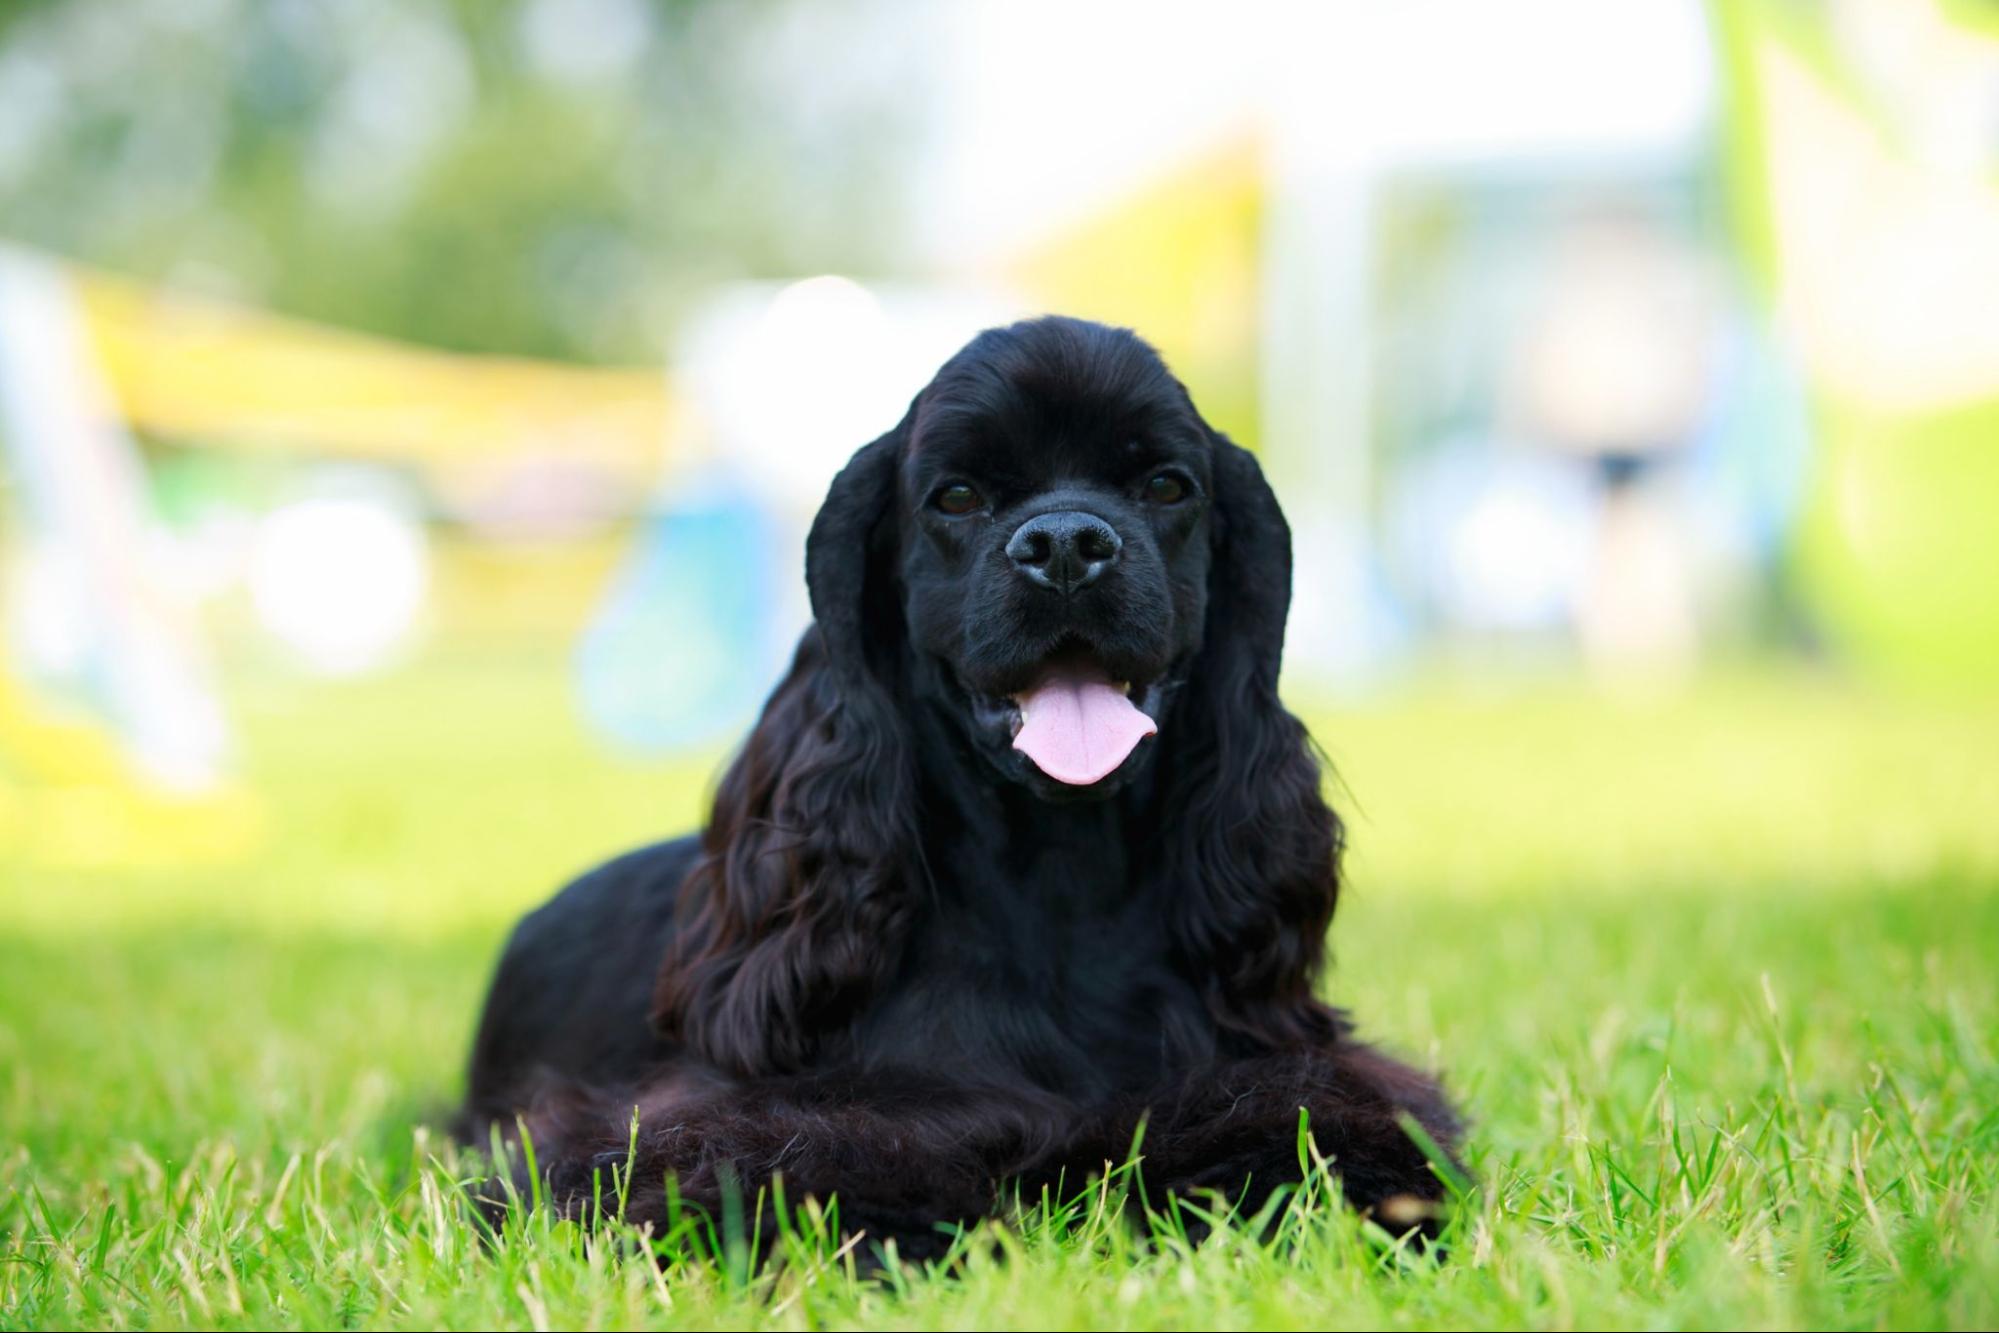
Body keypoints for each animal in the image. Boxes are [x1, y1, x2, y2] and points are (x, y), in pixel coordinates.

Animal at [469, 317, 1471, 1255]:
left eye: (1165, 485)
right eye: (955, 496)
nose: (1065, 542)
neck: (1058, 887)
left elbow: (1313, 1120)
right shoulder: (718, 1111)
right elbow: (790, 1153)